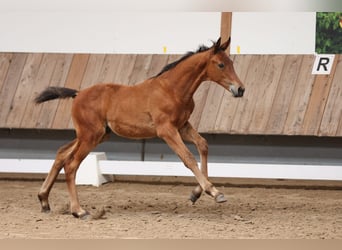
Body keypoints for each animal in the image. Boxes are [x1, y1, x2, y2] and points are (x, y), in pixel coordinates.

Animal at [35, 37, 246, 219]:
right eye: (221, 65)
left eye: (232, 63)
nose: (240, 89)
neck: (173, 89)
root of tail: (78, 94)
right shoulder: (166, 130)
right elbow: (188, 158)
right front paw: (215, 192)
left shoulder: (183, 126)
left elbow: (203, 145)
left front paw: (196, 193)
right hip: (90, 135)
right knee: (71, 165)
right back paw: (78, 211)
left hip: (96, 135)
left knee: (62, 154)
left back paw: (44, 200)